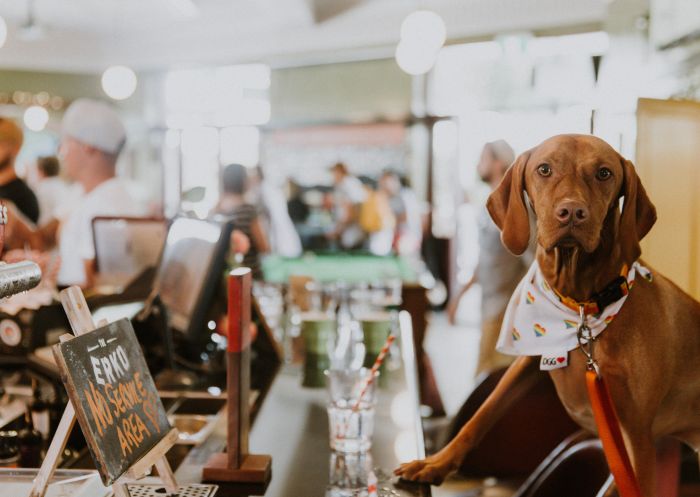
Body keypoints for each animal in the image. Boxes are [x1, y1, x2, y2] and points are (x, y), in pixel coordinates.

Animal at [394, 134, 700, 494]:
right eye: (544, 169)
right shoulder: (530, 355)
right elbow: (483, 411)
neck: (582, 308)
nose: (572, 213)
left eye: (604, 173)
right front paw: (437, 462)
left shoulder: (636, 439)